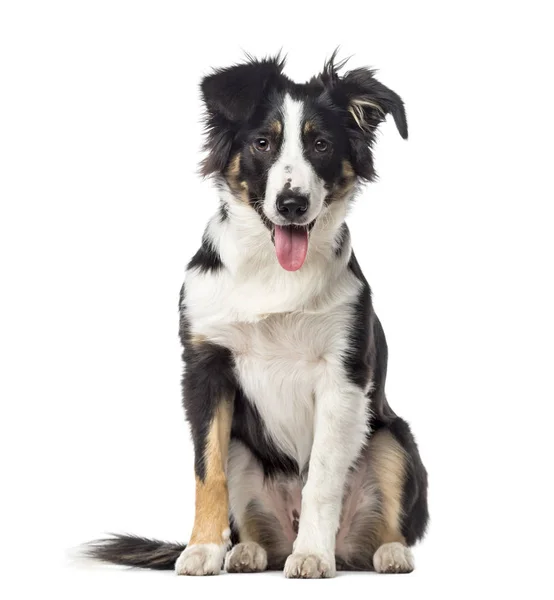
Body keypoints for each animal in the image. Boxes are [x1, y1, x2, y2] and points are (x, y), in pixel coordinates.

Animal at [87, 54, 432, 580]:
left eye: (321, 144)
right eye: (263, 143)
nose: (292, 204)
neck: (273, 269)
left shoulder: (344, 374)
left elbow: (323, 477)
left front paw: (312, 555)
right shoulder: (205, 367)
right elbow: (207, 471)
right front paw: (203, 550)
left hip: (393, 437)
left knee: (384, 515)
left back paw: (383, 552)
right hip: (243, 444)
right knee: (253, 520)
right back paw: (247, 551)